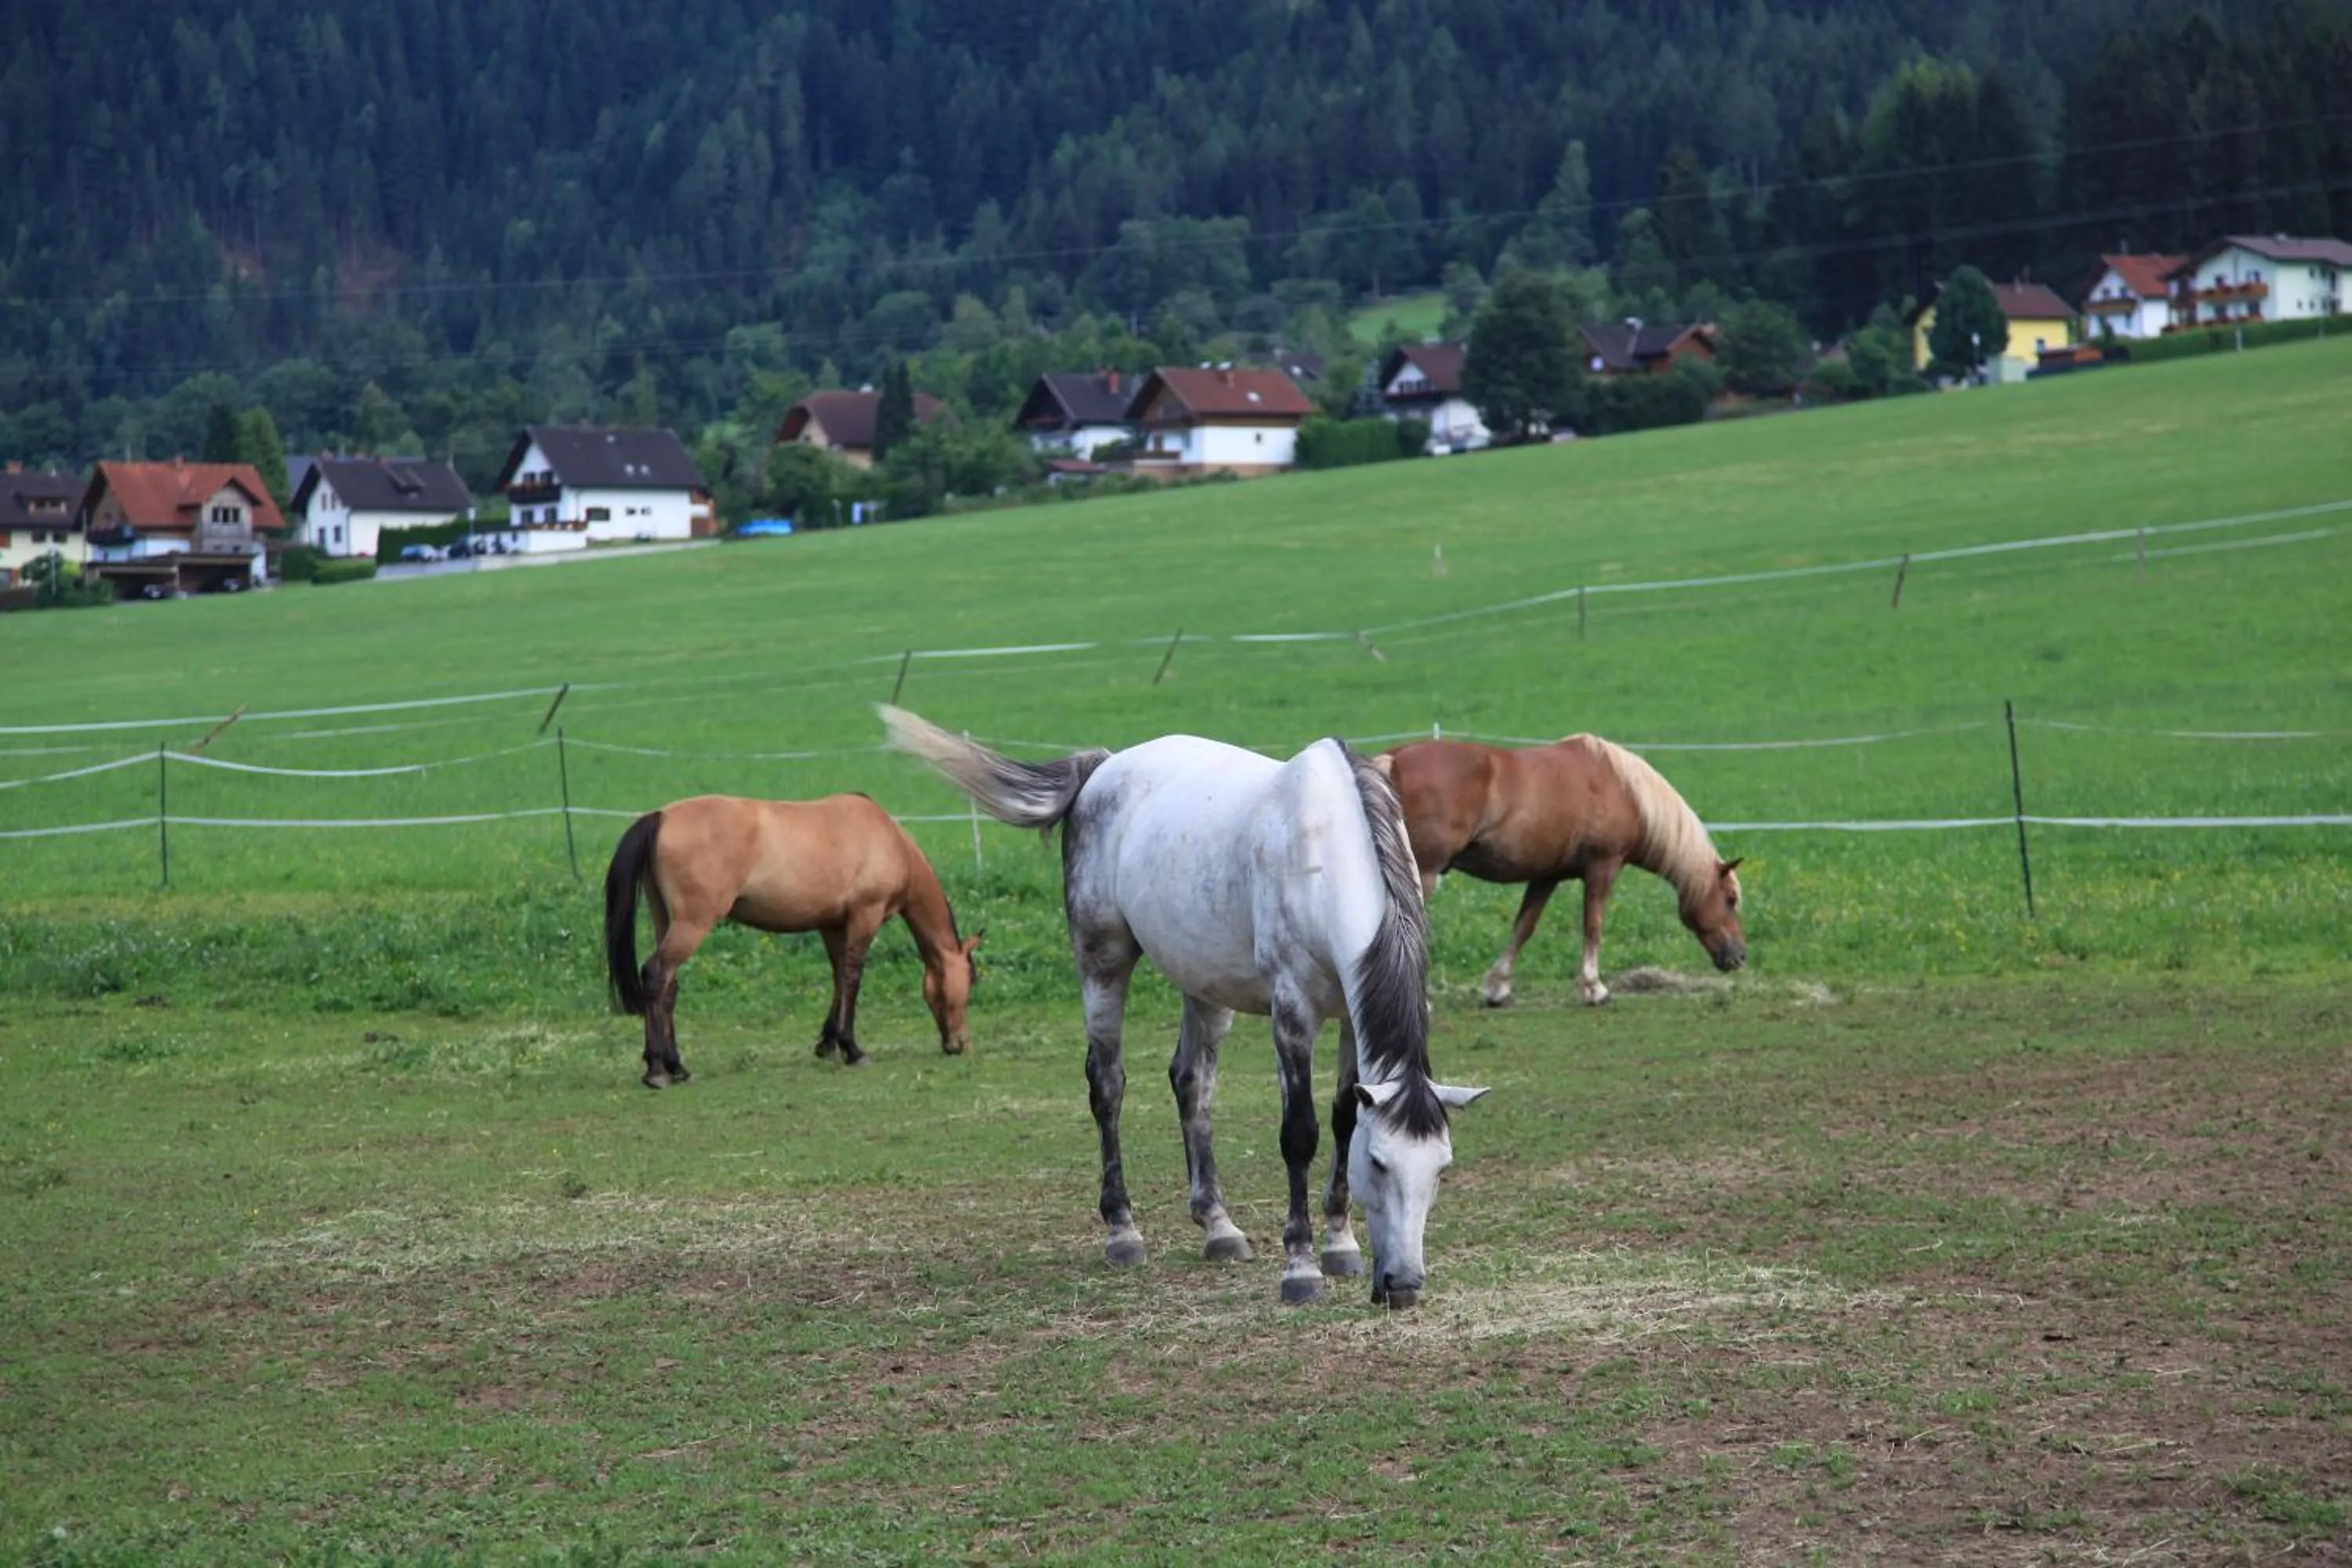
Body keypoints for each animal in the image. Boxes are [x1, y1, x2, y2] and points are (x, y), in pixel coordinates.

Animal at [602, 793, 983, 1088]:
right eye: (970, 981)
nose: (960, 1044)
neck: (887, 840)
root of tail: (660, 816)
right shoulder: (865, 917)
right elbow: (853, 978)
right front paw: (853, 1050)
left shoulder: (832, 925)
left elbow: (839, 979)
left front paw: (828, 1044)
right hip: (692, 924)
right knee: (656, 975)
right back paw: (656, 1071)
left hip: (665, 919)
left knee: (668, 989)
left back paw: (676, 1067)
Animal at [881, 705, 1487, 1311]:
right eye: (1380, 1162)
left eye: (1441, 1168)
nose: (1403, 1286)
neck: (1324, 853)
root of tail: (1103, 768)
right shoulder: (1293, 1012)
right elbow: (1301, 1132)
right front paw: (1301, 1268)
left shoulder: (1346, 1017)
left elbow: (1341, 1119)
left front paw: (1341, 1245)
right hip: (1102, 963)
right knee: (1107, 1084)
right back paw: (1123, 1231)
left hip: (1205, 982)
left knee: (1192, 1083)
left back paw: (1219, 1227)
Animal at [1375, 736, 1745, 1008]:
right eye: (1730, 899)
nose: (1740, 956)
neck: (1623, 789)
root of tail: (1394, 759)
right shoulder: (1602, 868)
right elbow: (1593, 926)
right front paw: (1594, 989)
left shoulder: (1546, 876)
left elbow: (1524, 927)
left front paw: (1498, 988)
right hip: (1424, 874)